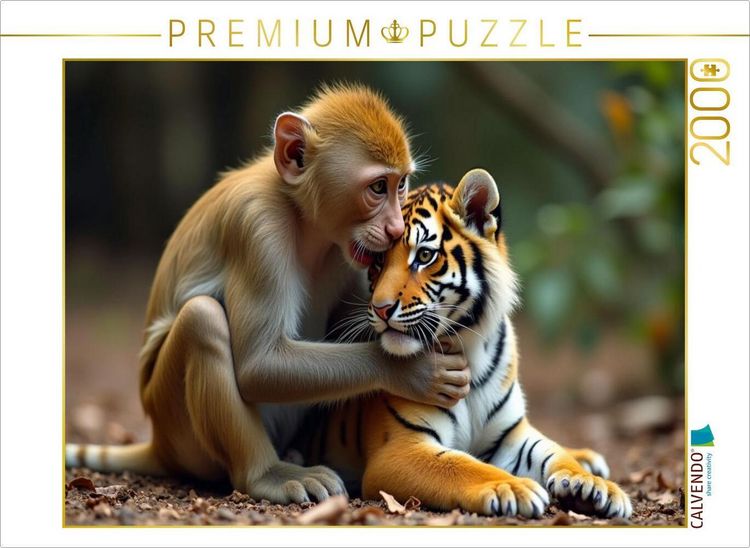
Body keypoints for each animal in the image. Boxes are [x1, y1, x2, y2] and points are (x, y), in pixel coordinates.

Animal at [300, 168, 632, 518]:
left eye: (425, 255)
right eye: (377, 262)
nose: (380, 308)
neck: (469, 350)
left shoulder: (512, 435)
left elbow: (554, 452)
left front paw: (594, 486)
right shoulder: (400, 450)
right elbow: (462, 466)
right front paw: (513, 487)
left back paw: (589, 460)